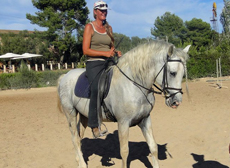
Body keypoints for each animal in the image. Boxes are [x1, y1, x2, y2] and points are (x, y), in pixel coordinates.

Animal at [57, 41, 190, 168]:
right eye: (172, 73)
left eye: (183, 74)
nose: (176, 102)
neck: (134, 84)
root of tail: (65, 76)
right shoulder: (123, 123)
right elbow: (125, 152)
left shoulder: (145, 119)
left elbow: (153, 147)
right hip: (70, 113)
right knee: (75, 138)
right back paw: (83, 164)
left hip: (84, 116)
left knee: (79, 137)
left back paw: (79, 160)